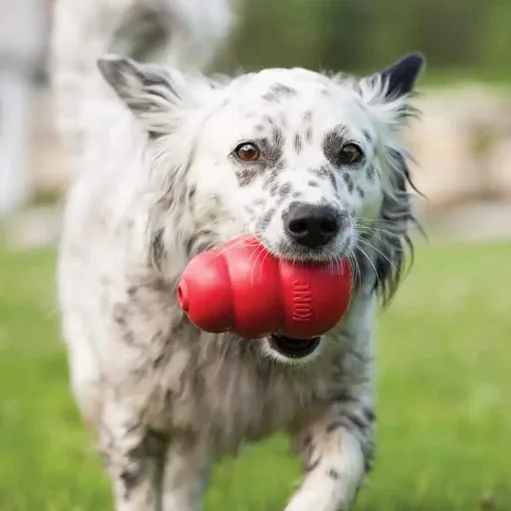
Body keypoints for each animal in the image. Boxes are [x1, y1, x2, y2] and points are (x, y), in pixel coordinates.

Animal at [53, 1, 428, 511]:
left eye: (350, 152)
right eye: (248, 151)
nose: (314, 222)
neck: (244, 349)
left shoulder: (344, 408)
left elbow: (335, 477)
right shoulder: (132, 423)